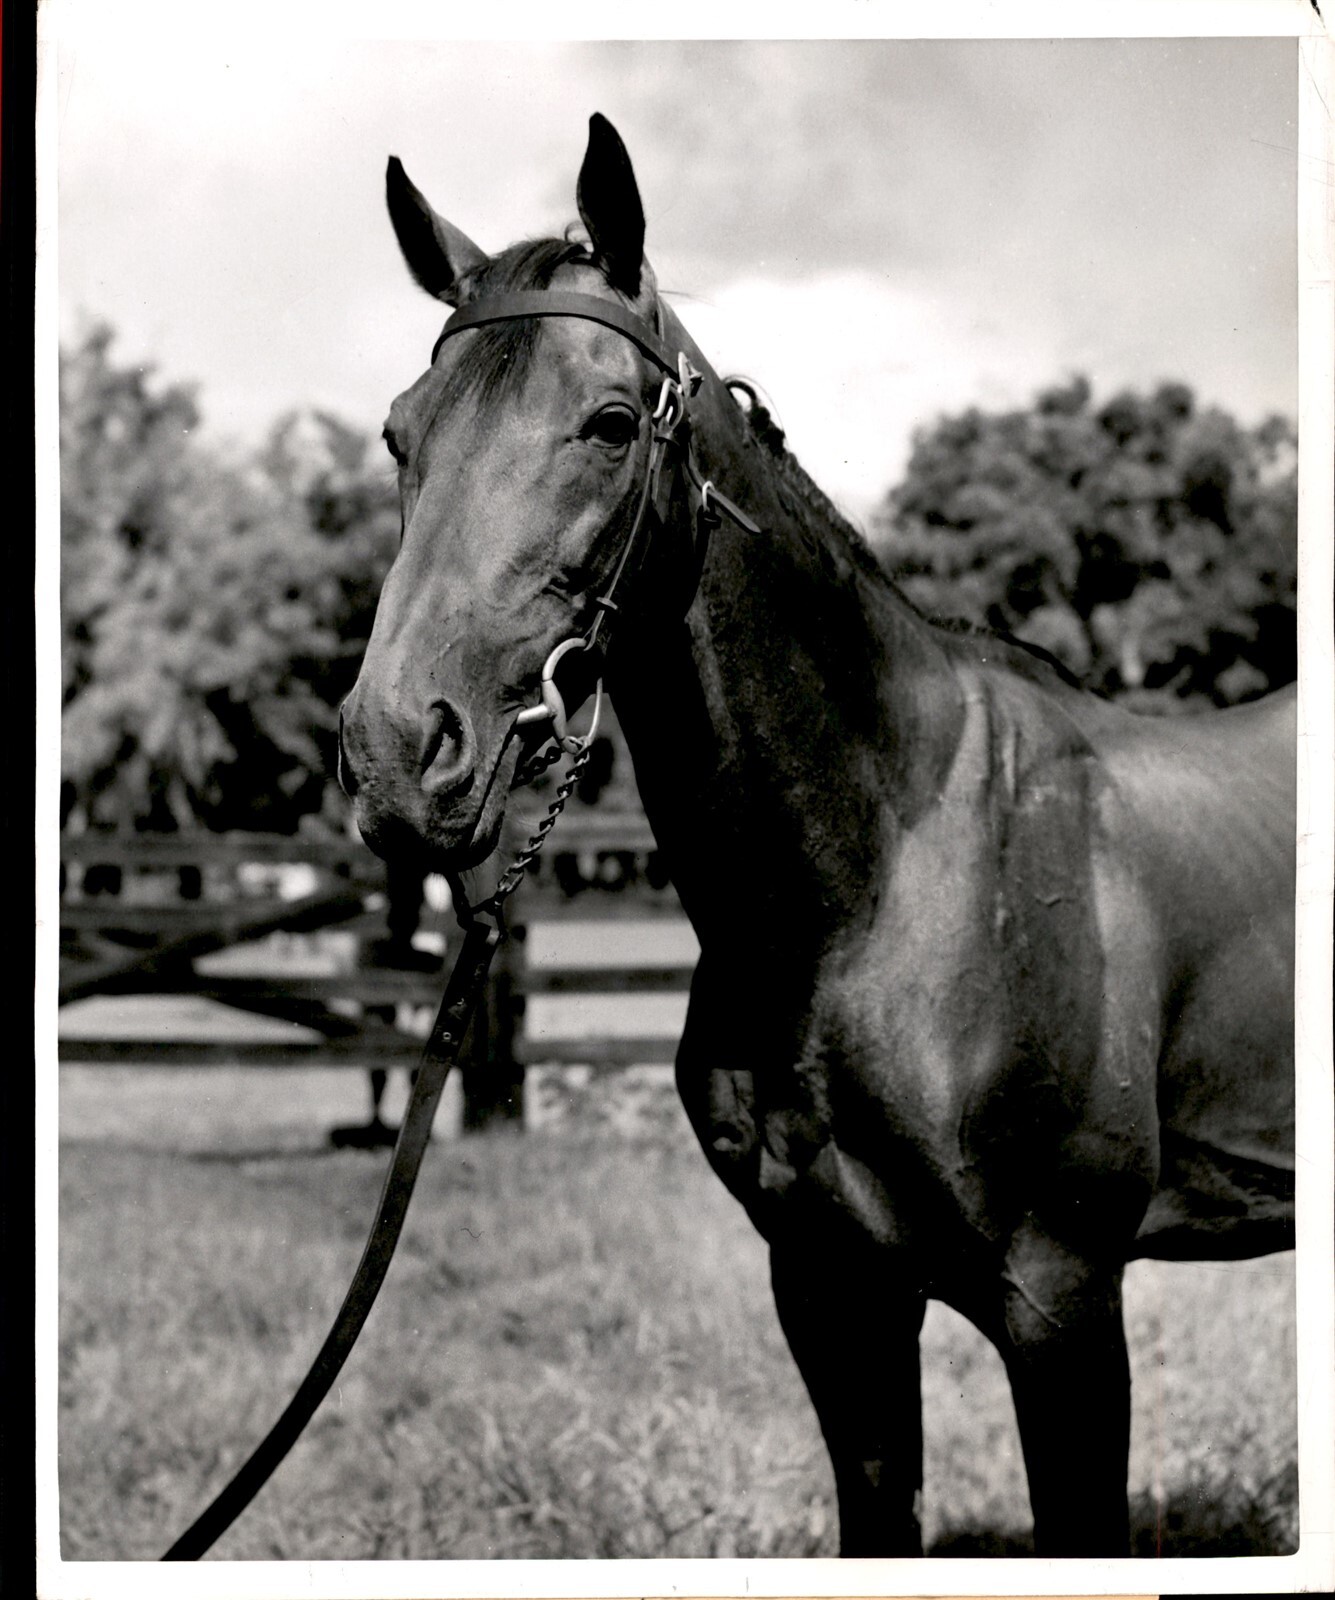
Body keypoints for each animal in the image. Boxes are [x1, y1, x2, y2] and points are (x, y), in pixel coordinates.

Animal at [337, 114, 1296, 1558]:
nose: (399, 751)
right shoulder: (832, 1291)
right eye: (402, 434)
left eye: (608, 423)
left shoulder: (1063, 1308)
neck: (885, 881)